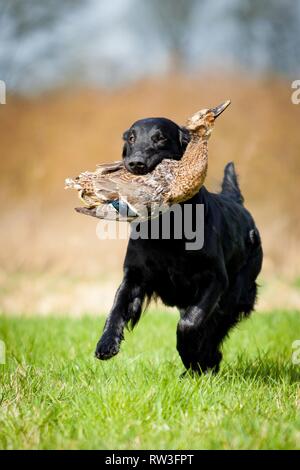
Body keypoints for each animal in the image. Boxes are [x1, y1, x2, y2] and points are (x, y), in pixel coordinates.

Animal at [94, 115, 262, 372]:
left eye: (160, 138)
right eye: (131, 138)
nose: (135, 163)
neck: (168, 228)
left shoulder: (215, 279)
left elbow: (189, 324)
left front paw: (191, 353)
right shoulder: (135, 276)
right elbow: (116, 308)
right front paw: (106, 343)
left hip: (237, 293)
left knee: (215, 327)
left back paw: (207, 360)